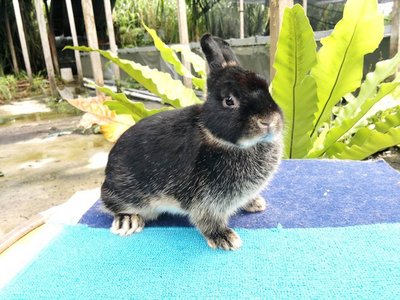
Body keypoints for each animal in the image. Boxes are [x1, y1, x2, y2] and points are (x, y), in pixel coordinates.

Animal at [103, 34, 284, 250]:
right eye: (229, 101)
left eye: (266, 87)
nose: (268, 120)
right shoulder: (206, 199)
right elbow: (207, 220)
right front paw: (225, 238)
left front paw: (255, 203)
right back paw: (128, 221)